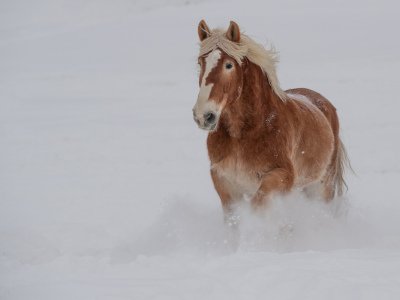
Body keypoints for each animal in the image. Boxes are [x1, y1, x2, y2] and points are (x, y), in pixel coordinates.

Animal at [192, 20, 348, 218]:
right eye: (200, 63)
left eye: (228, 65)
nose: (204, 116)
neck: (243, 134)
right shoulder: (223, 181)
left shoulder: (282, 176)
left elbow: (258, 203)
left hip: (321, 186)